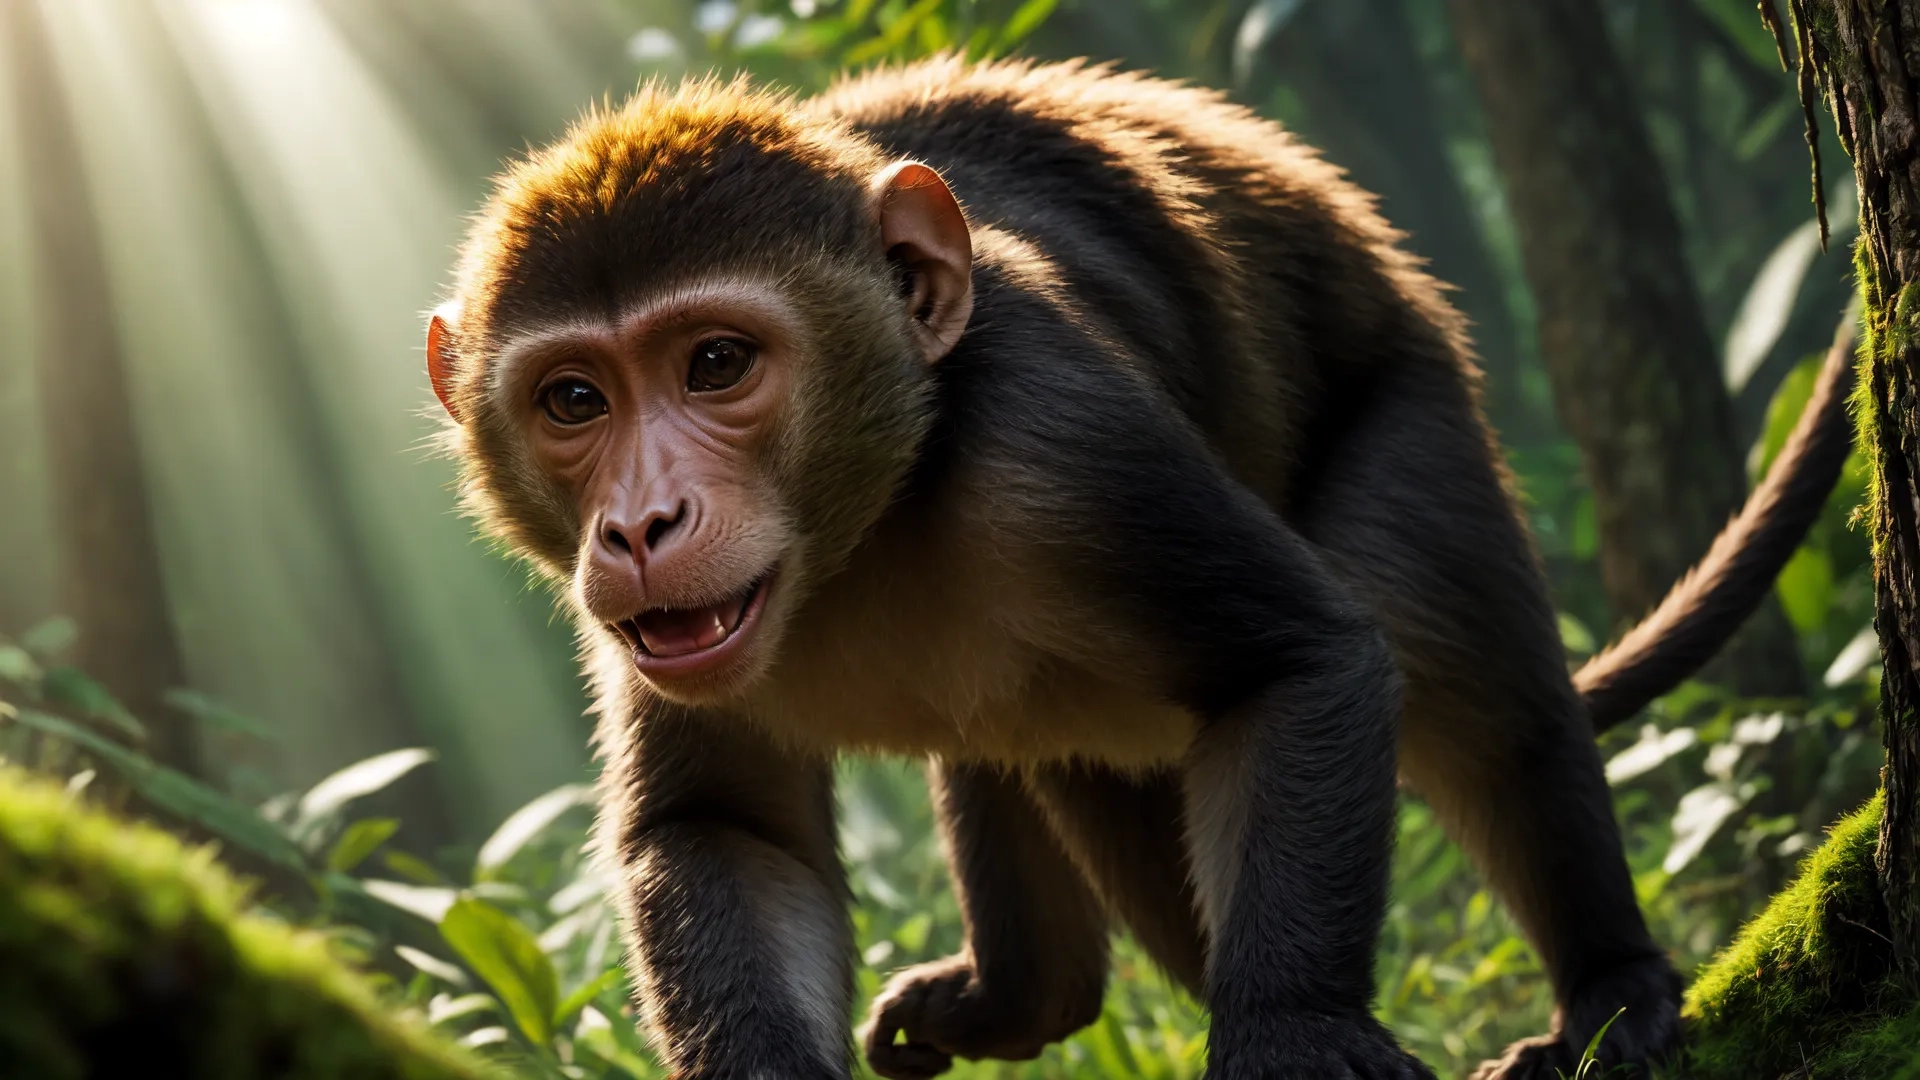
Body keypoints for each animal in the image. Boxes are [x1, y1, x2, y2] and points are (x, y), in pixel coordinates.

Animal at [420, 56, 1858, 1076]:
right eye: (574, 400)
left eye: (716, 363)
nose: (641, 524)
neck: (868, 523)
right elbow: (725, 829)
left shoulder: (1061, 442)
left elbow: (1302, 666)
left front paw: (1287, 1035)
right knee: (1034, 759)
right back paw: (1026, 997)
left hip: (1405, 390)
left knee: (1476, 706)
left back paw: (1611, 986)